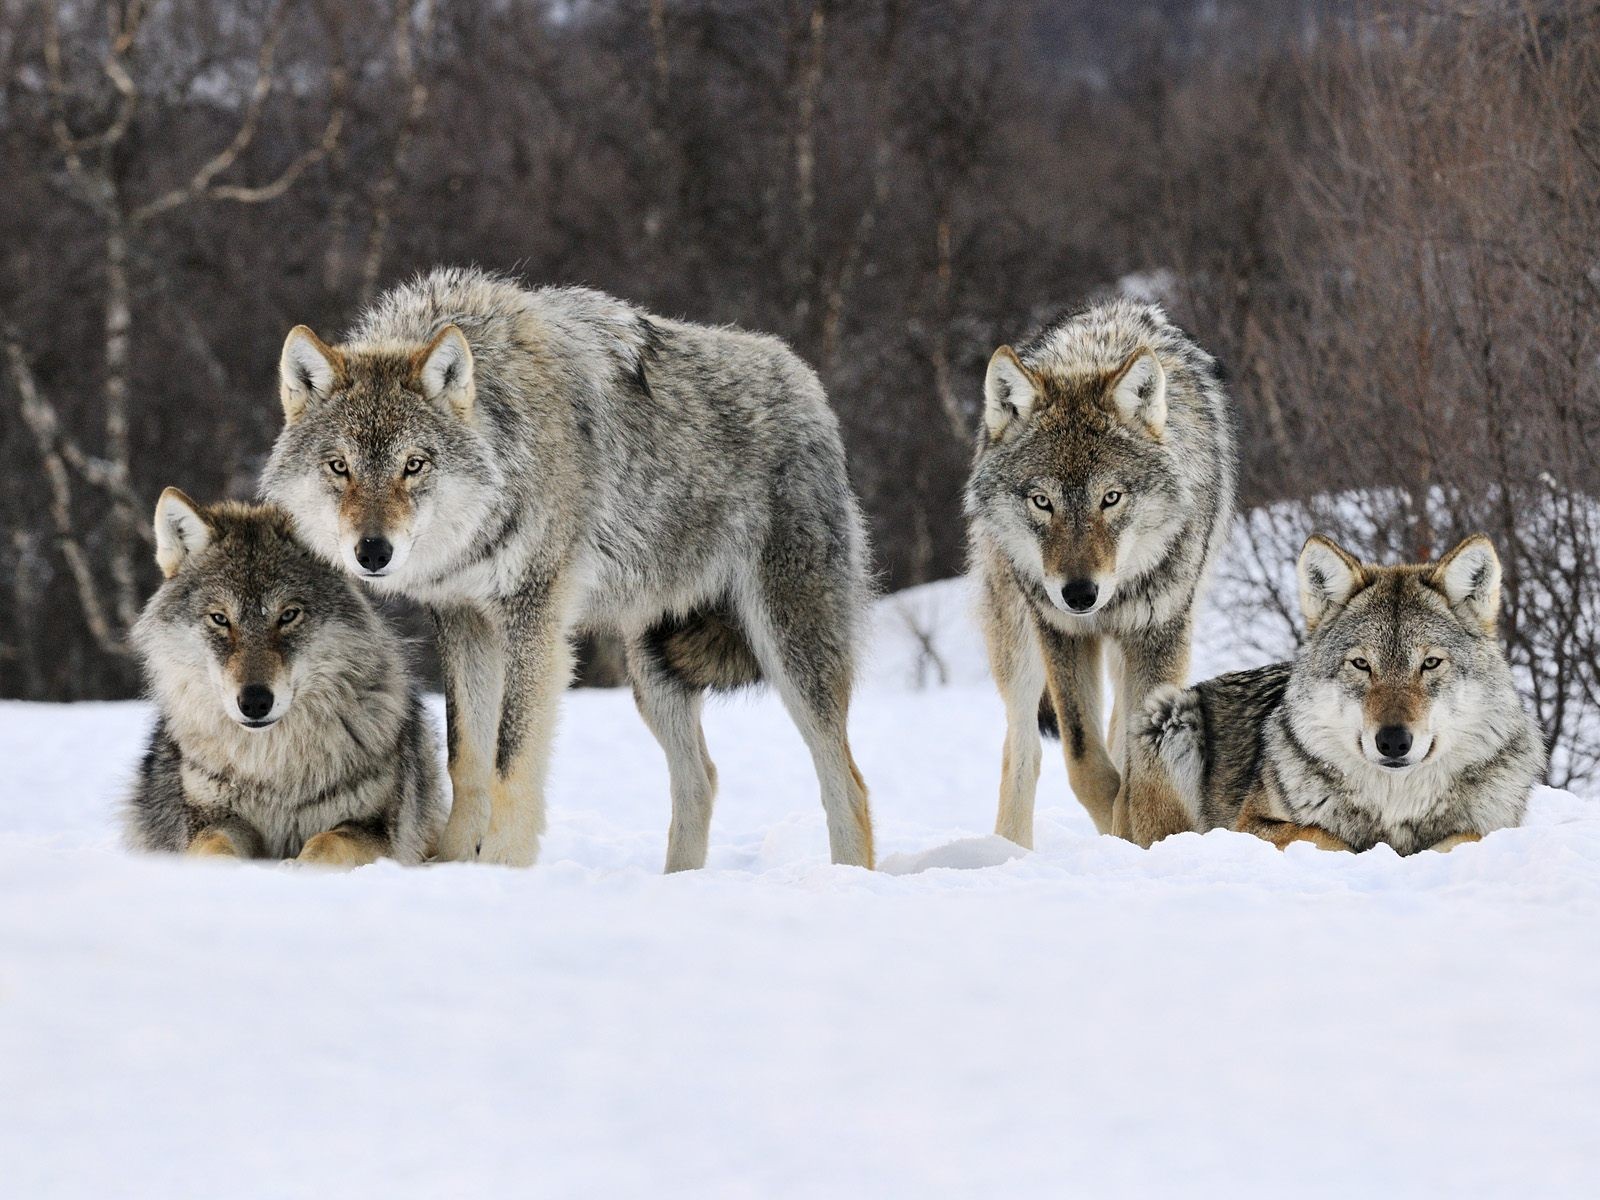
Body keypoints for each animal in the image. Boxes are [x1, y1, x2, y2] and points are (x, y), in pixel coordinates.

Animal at [122, 492, 444, 870]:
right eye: (220, 619)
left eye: (288, 615)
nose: (255, 701)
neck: (273, 768)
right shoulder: (212, 819)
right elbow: (213, 847)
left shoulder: (373, 828)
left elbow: (327, 842)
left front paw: (298, 868)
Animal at [259, 267, 876, 876]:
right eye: (339, 466)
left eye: (414, 465)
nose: (373, 552)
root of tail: (807, 383)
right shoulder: (464, 620)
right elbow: (467, 757)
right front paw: (454, 864)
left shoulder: (534, 618)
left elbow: (510, 759)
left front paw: (502, 868)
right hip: (653, 671)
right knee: (701, 779)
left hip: (790, 651)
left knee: (847, 781)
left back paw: (847, 877)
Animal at [960, 299, 1235, 844]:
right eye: (1042, 501)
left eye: (1110, 497)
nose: (1080, 594)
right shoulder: (1061, 631)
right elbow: (1084, 760)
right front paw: (1117, 827)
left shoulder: (1160, 632)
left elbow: (1137, 760)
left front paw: (1138, 831)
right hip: (1017, 639)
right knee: (1022, 748)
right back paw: (1009, 849)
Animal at [1145, 534, 1542, 857]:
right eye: (1361, 664)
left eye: (1430, 663)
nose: (1393, 741)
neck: (1395, 804)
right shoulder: (1250, 825)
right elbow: (1324, 836)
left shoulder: (1494, 826)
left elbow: (1467, 837)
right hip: (1170, 716)